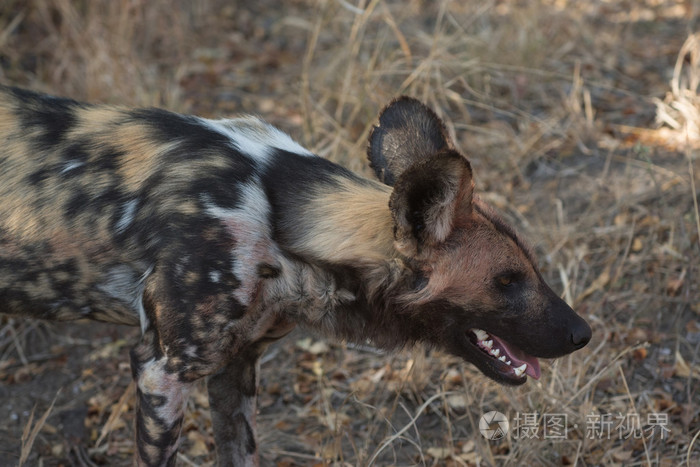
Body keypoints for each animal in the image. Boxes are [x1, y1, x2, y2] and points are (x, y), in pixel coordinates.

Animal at [0, 87, 592, 464]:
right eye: (507, 281)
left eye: (531, 269)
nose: (583, 334)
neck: (280, 226)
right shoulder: (160, 370)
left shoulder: (234, 368)